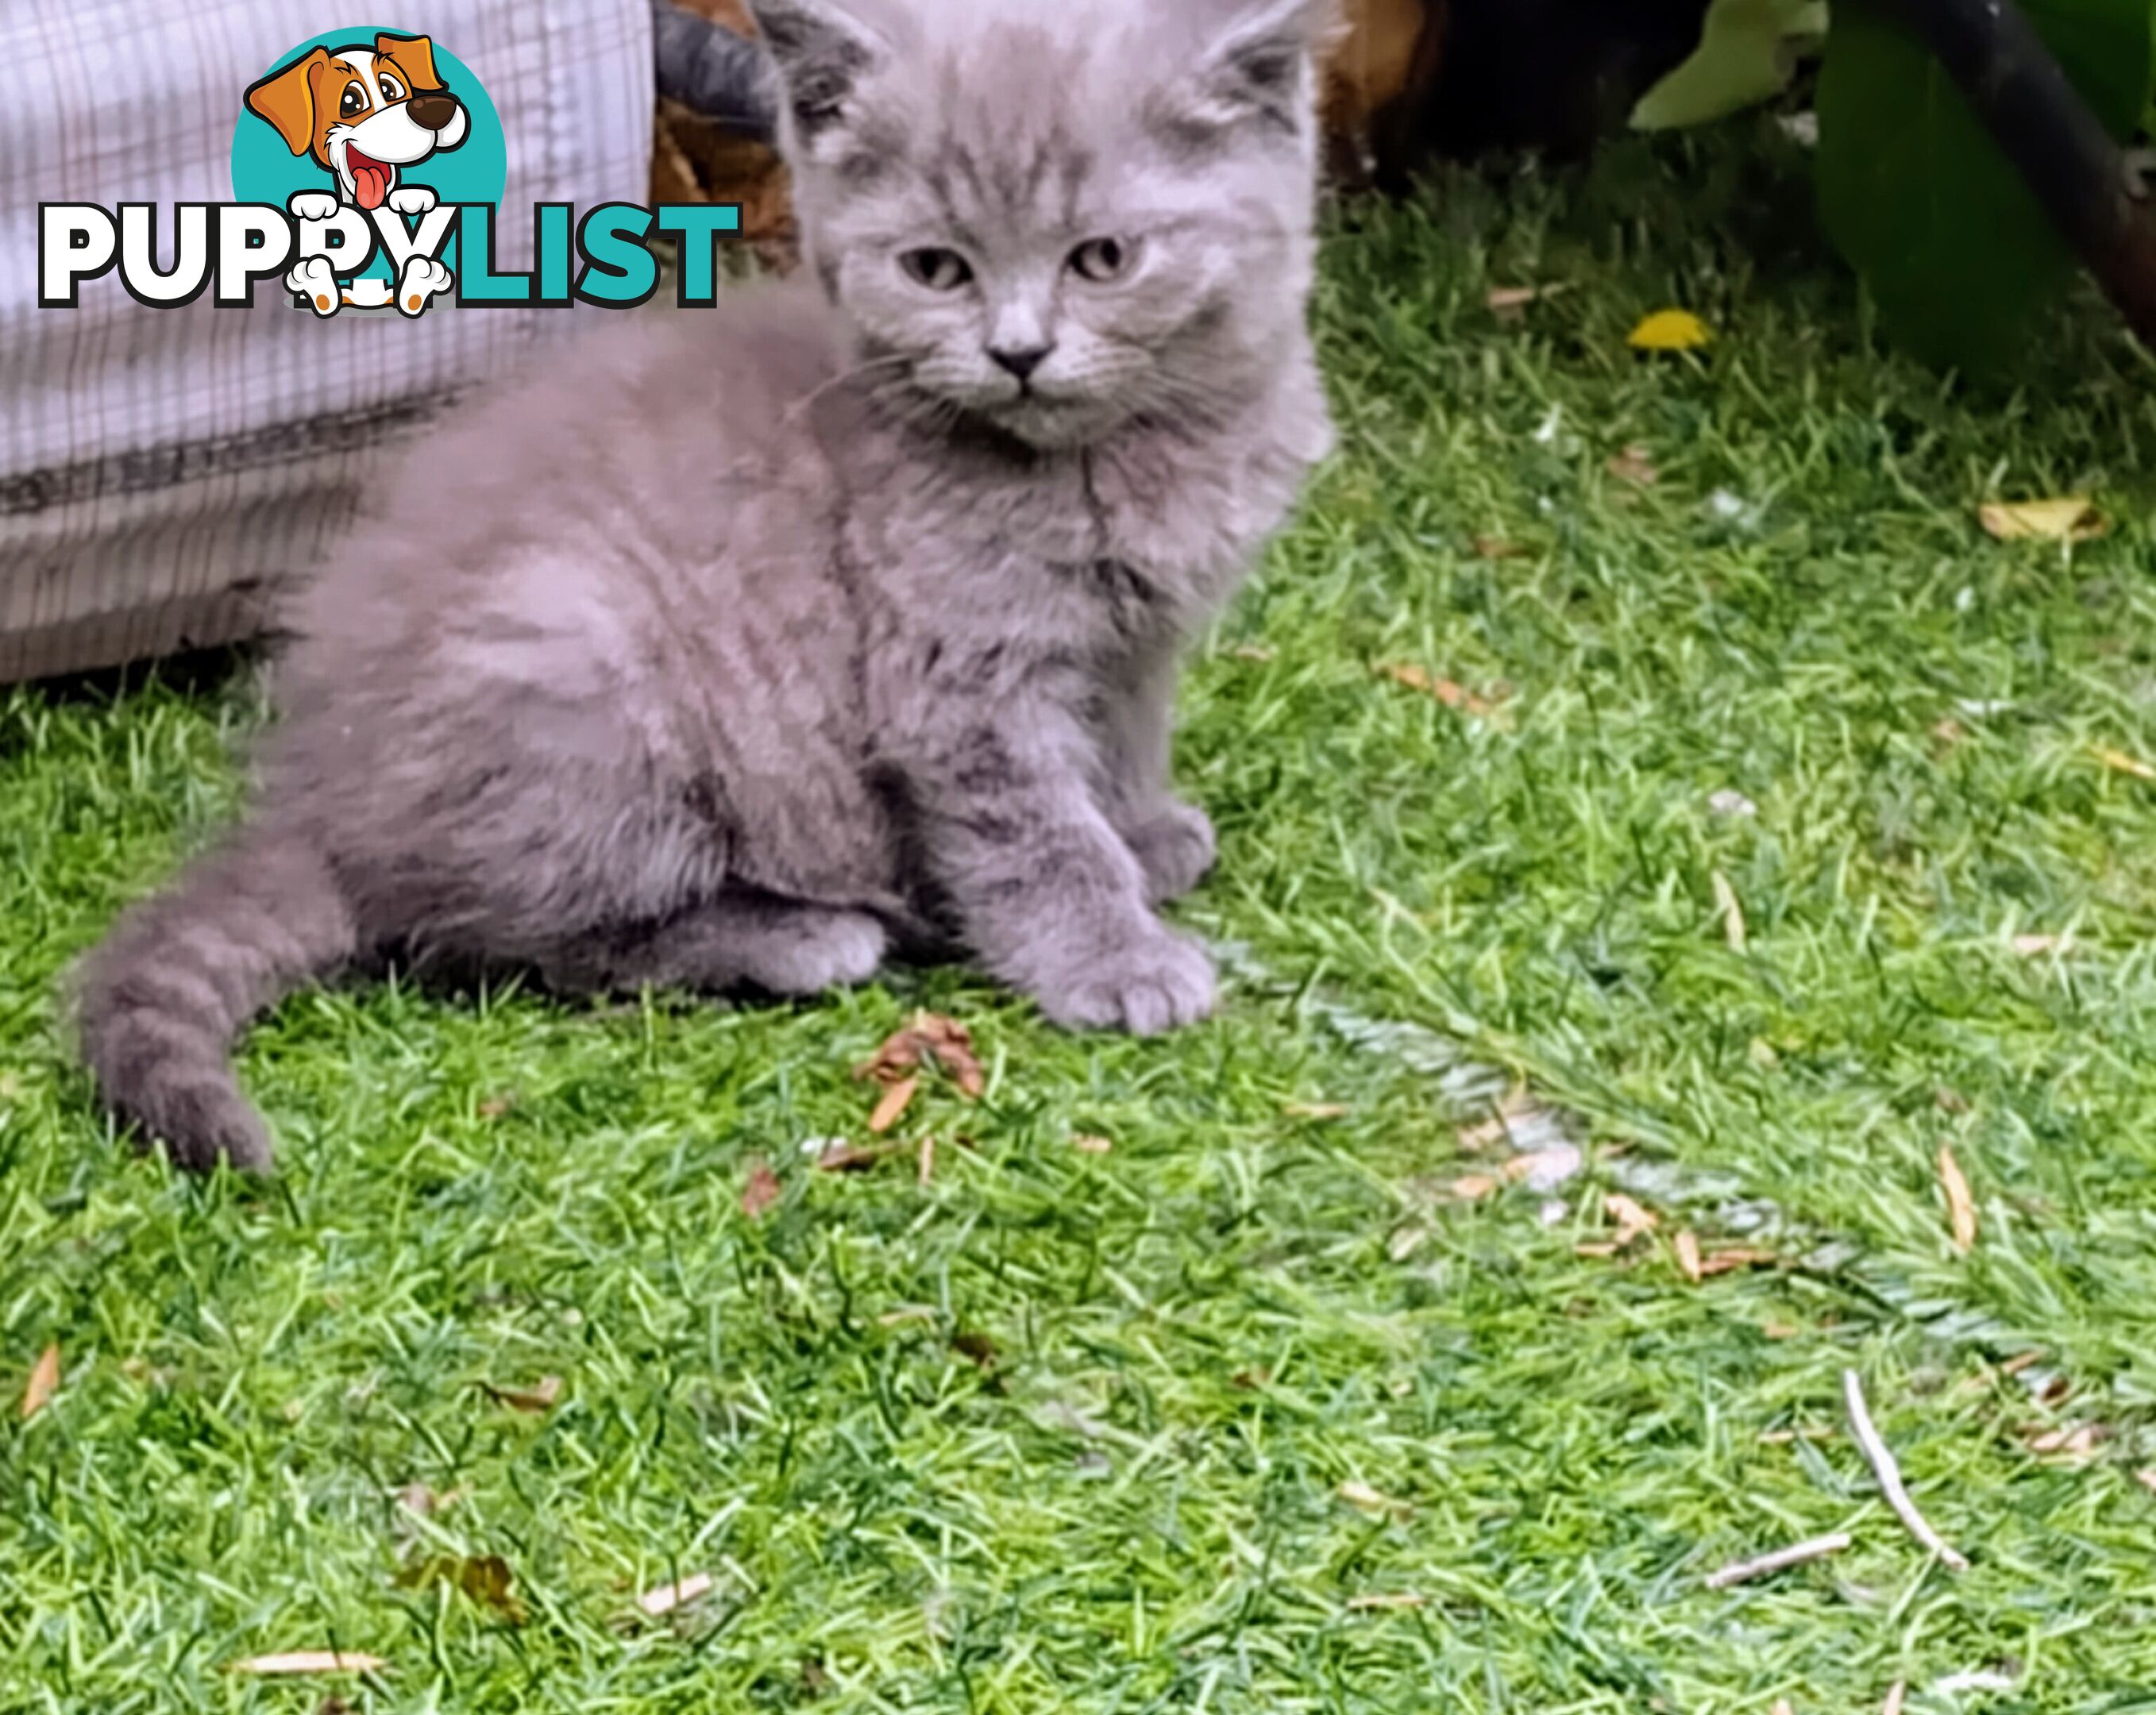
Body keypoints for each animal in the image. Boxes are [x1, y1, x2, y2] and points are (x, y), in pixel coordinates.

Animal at [71, 0, 1328, 1172]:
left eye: (1102, 259)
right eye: (935, 268)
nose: (1016, 352)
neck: (1112, 458)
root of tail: (317, 804)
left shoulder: (1137, 640)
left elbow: (1120, 742)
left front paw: (1143, 834)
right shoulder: (958, 681)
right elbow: (1032, 830)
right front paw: (1111, 956)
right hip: (578, 663)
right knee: (491, 939)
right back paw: (800, 937)